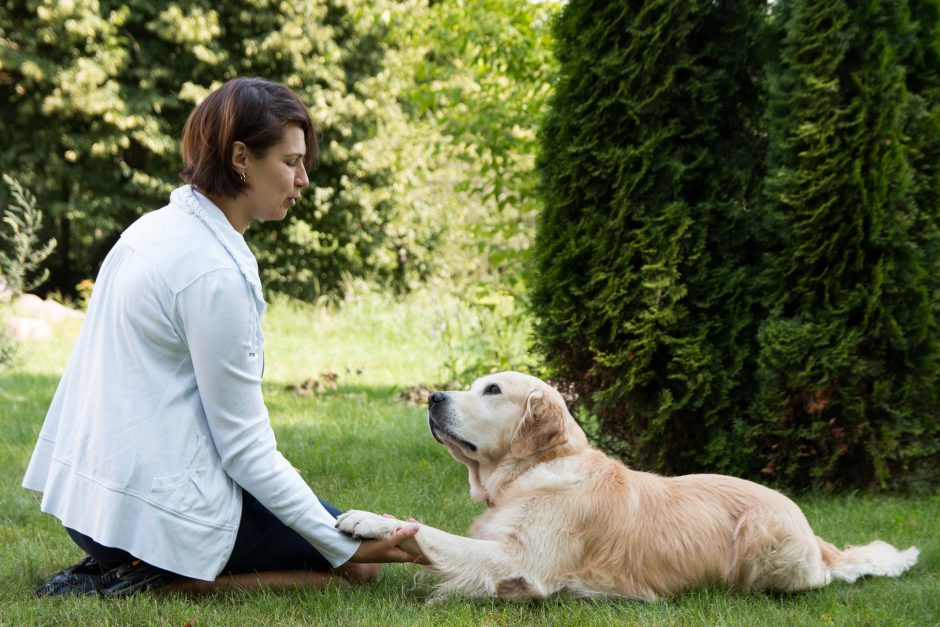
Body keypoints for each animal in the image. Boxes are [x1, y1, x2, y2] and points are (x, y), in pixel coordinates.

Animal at [336, 370, 916, 600]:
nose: (434, 397)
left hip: (764, 540)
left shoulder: (519, 562)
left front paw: (369, 519)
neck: (533, 473)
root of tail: (811, 531)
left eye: (493, 390)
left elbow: (434, 536)